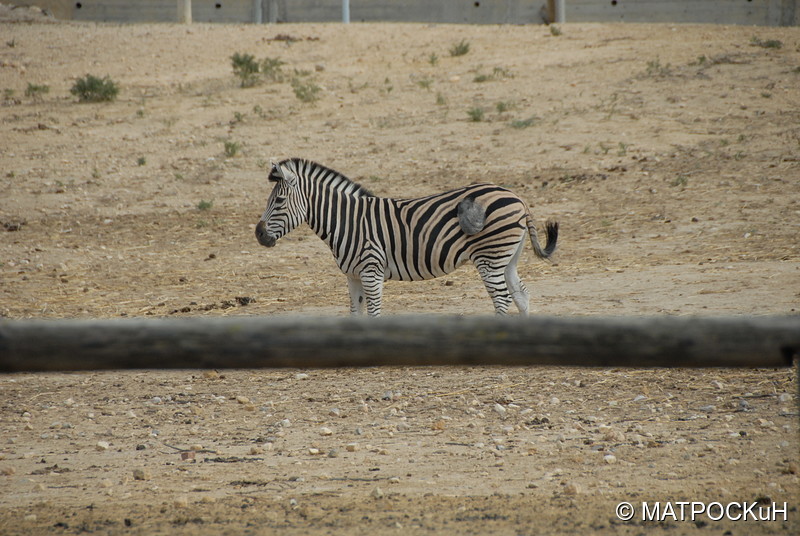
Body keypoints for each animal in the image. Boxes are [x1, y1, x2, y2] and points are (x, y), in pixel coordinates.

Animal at [255, 159, 556, 316]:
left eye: (278, 200)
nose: (258, 234)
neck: (347, 222)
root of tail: (517, 197)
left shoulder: (371, 271)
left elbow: (374, 312)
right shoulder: (352, 275)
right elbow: (355, 313)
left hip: (490, 256)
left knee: (502, 299)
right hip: (507, 257)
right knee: (521, 295)